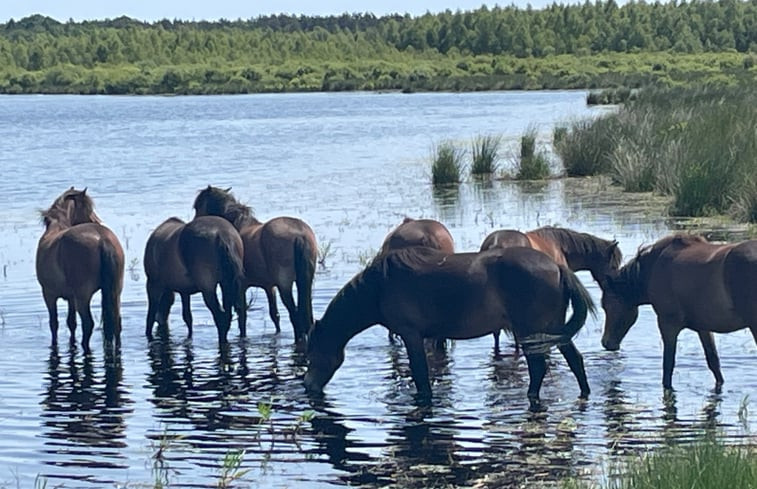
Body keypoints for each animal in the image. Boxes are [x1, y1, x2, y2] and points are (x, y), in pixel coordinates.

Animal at [35, 187, 124, 350]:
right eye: (88, 209)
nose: (99, 222)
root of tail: (102, 238)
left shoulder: (49, 295)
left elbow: (54, 323)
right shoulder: (71, 297)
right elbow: (71, 323)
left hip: (83, 297)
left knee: (88, 323)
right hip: (115, 292)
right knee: (116, 322)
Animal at [192, 185, 318, 342]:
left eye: (197, 206)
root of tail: (299, 235)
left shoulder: (241, 287)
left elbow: (242, 317)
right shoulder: (270, 287)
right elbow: (274, 315)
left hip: (285, 285)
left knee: (295, 316)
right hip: (305, 283)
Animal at [304, 246, 592, 410]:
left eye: (311, 354)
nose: (308, 386)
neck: (380, 285)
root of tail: (557, 266)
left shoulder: (410, 335)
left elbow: (421, 376)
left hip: (530, 331)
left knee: (538, 368)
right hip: (552, 329)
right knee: (575, 360)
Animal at [600, 234, 752, 390]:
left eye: (606, 306)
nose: (606, 342)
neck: (652, 268)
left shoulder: (668, 324)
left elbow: (668, 366)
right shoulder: (703, 327)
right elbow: (713, 362)